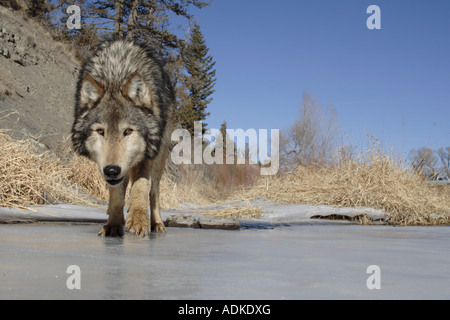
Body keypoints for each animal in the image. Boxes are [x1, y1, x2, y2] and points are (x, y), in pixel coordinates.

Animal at [71, 40, 174, 238]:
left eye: (128, 131)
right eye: (100, 131)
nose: (112, 170)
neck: (116, 76)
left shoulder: (147, 155)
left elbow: (141, 186)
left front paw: (139, 219)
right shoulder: (107, 168)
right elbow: (117, 196)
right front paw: (113, 224)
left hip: (160, 156)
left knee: (154, 193)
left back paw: (156, 223)